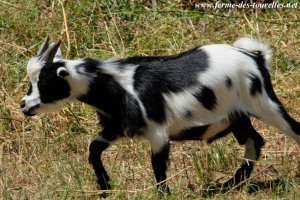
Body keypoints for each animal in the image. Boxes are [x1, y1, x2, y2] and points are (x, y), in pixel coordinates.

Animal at [19, 36, 298, 195]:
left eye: (45, 83)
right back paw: (230, 184)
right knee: (254, 141)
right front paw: (105, 187)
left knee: (293, 129)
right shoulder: (115, 126)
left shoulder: (158, 131)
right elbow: (93, 149)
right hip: (236, 116)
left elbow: (158, 166)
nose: (24, 105)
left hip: (262, 103)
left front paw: (163, 193)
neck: (118, 86)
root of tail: (254, 56)